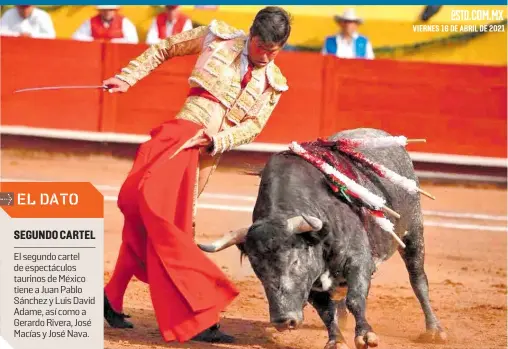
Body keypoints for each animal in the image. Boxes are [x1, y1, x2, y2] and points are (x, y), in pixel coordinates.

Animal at [196, 128, 446, 348]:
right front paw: (336, 340)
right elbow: (327, 312)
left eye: (295, 261)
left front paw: (365, 336)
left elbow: (356, 299)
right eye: (257, 269)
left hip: (413, 232)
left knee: (418, 281)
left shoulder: (359, 262)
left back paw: (434, 331)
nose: (283, 321)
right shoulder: (313, 286)